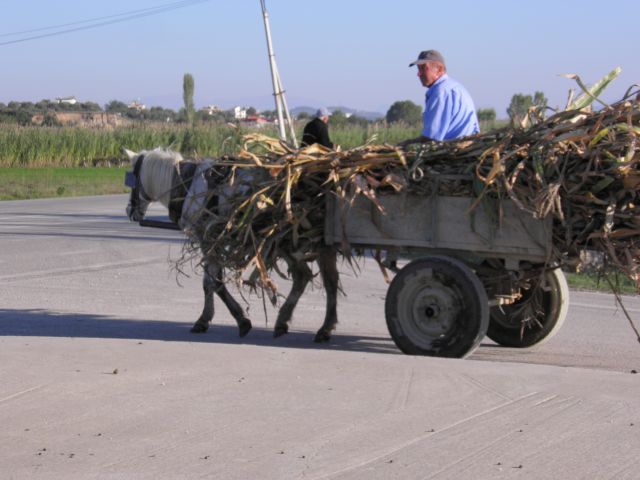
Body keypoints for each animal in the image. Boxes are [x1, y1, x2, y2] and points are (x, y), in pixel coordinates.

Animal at [124, 147, 340, 342]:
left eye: (132, 180)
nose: (129, 211)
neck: (188, 184)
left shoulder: (207, 238)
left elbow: (213, 282)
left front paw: (231, 320)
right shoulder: (212, 240)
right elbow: (211, 282)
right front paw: (218, 319)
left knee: (320, 279)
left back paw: (319, 327)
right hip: (287, 241)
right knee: (308, 277)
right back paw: (290, 322)